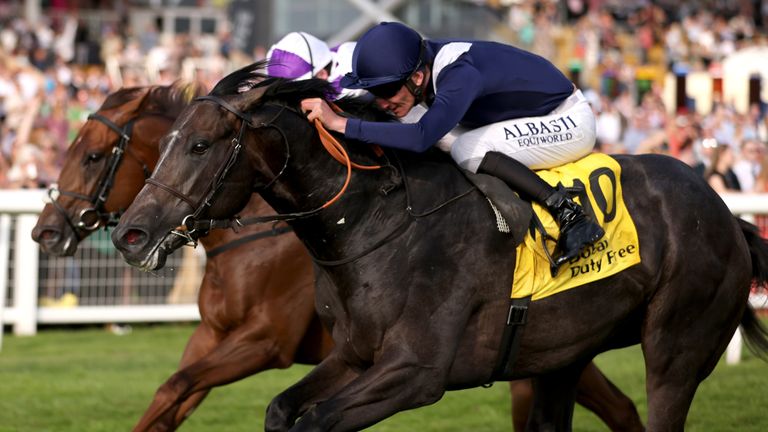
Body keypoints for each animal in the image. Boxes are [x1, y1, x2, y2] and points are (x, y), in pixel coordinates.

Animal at [112, 65, 768, 432]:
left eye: (200, 145)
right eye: (163, 145)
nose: (128, 235)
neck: (374, 223)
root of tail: (726, 215)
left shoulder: (417, 372)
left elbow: (315, 420)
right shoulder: (352, 356)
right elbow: (279, 409)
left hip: (677, 349)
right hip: (562, 357)